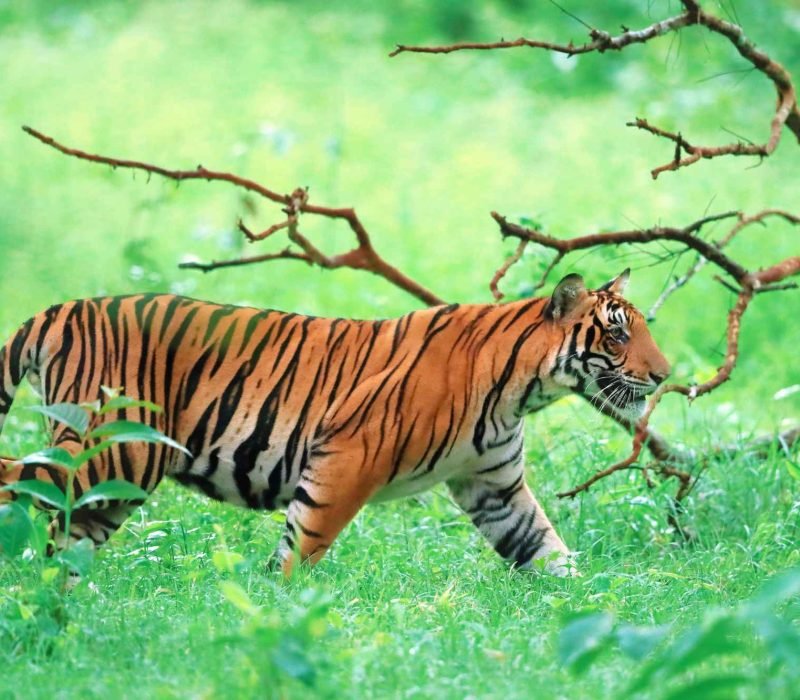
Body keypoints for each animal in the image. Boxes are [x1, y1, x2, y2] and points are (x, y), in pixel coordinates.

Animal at [0, 268, 668, 576]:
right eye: (617, 333)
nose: (664, 375)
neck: (524, 391)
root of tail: (59, 309)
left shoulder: (495, 487)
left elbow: (546, 549)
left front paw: (595, 610)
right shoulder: (348, 458)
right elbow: (303, 545)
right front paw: (274, 606)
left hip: (114, 483)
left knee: (65, 537)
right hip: (110, 452)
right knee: (19, 482)